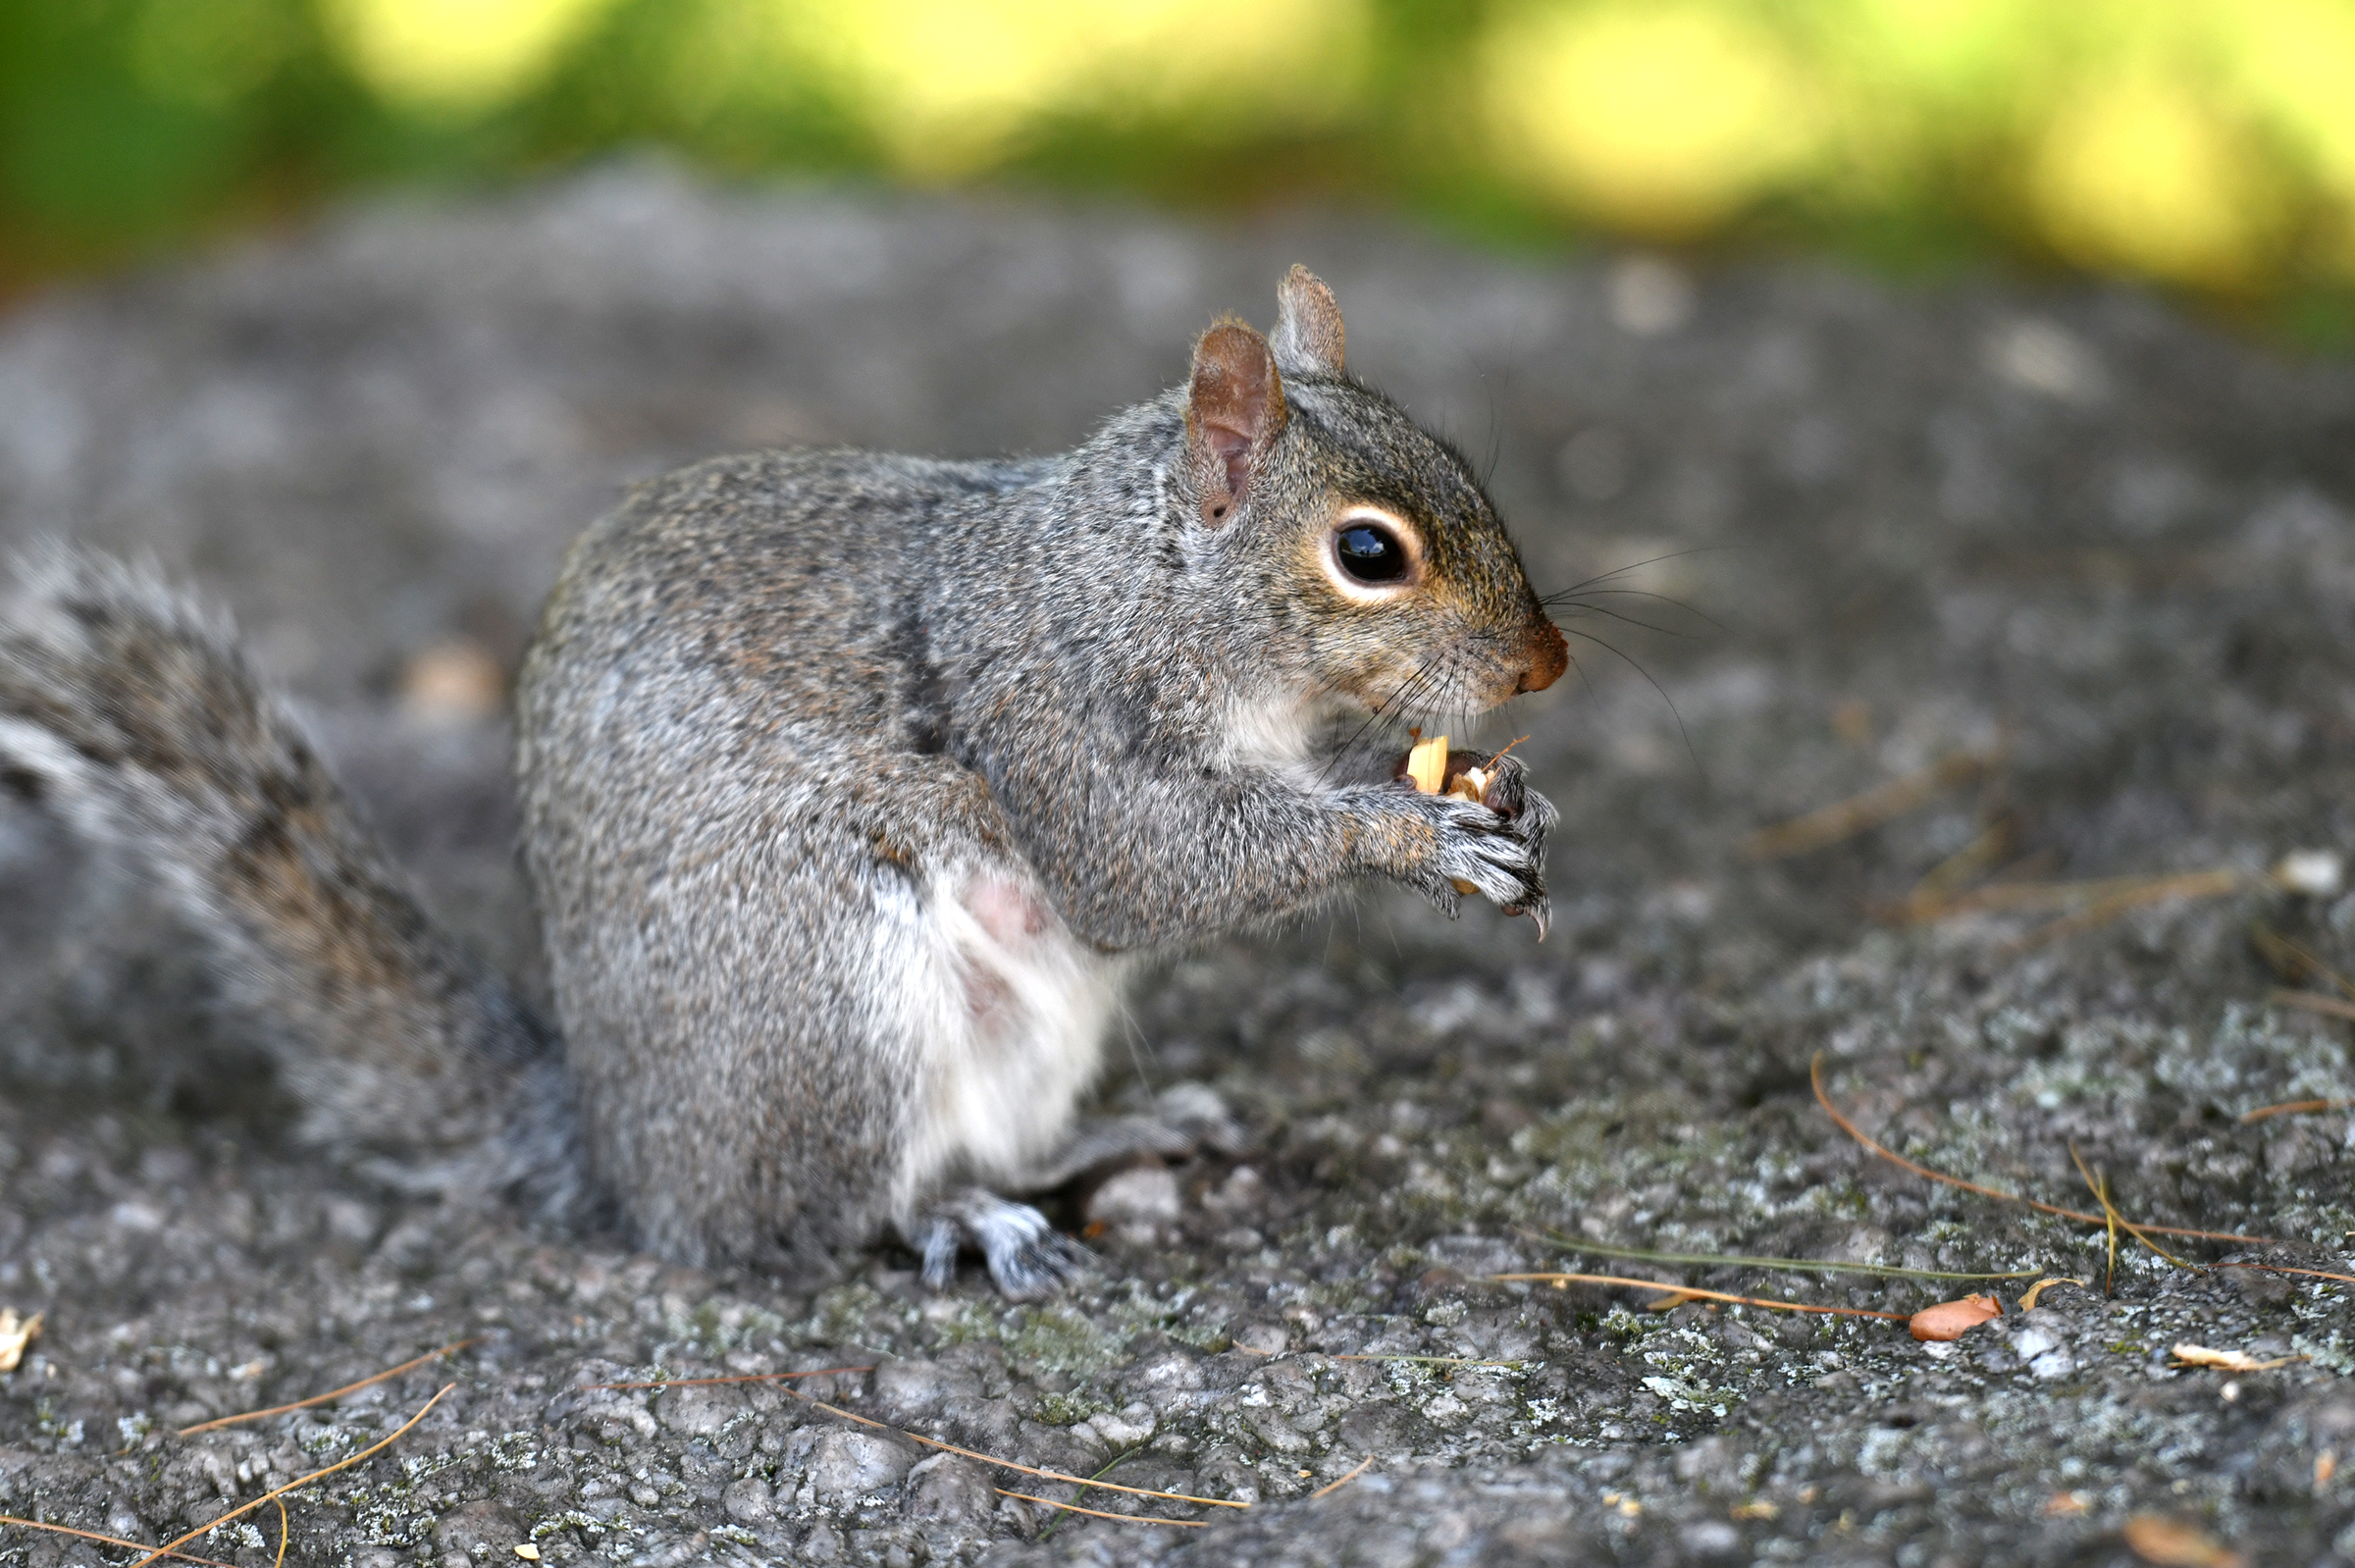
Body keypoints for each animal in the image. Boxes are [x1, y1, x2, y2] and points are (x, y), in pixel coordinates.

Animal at [0, 266, 1566, 1296]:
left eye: (1463, 470)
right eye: (1367, 552)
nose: (1546, 663)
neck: (1145, 581)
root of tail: (625, 1145)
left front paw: (1507, 803)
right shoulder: (1054, 710)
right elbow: (1148, 873)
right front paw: (1415, 835)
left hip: (1014, 1036)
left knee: (984, 1143)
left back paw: (1100, 1142)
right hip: (824, 1000)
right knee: (800, 1222)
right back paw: (948, 1224)